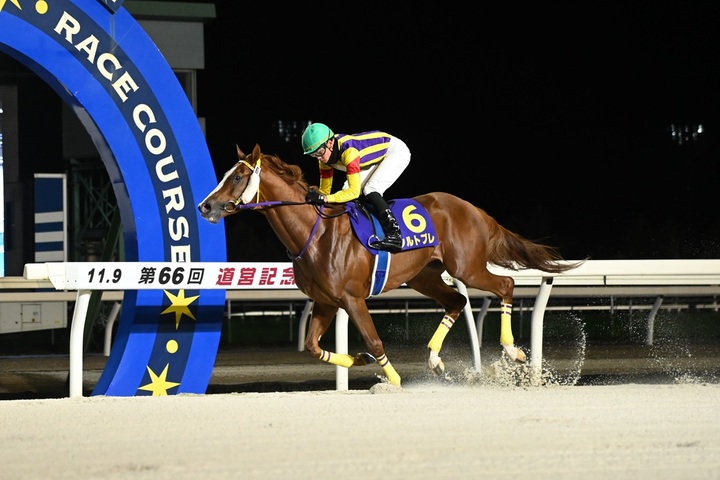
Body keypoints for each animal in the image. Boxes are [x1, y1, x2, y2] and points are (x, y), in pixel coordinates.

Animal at [197, 144, 583, 386]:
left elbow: (376, 341)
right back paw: (434, 359)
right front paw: (359, 360)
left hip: (466, 268)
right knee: (458, 301)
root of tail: (474, 209)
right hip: (424, 276)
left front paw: (393, 380)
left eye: (236, 177)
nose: (206, 206)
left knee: (504, 286)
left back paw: (512, 349)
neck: (315, 232)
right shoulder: (326, 301)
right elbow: (312, 346)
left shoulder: (352, 298)